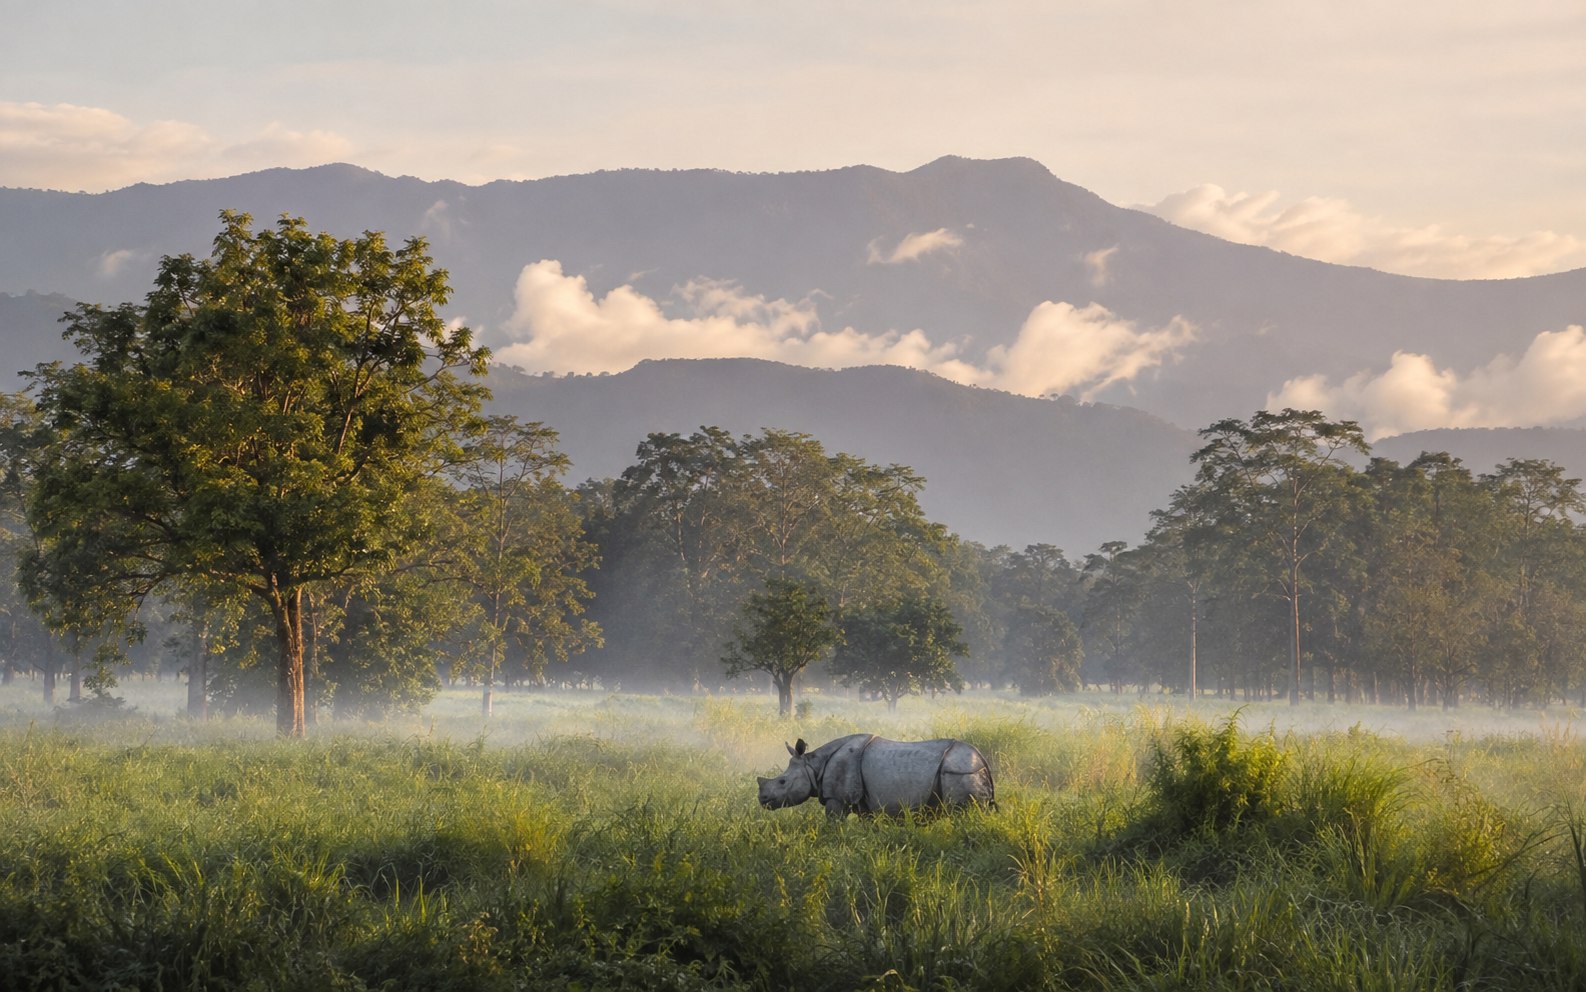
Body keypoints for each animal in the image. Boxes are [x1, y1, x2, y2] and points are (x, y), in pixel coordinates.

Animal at [758, 734, 996, 816]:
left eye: (782, 782)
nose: (762, 800)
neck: (813, 765)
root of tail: (983, 760)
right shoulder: (863, 800)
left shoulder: (837, 797)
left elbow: (833, 823)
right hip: (965, 772)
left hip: (959, 772)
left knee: (962, 815)